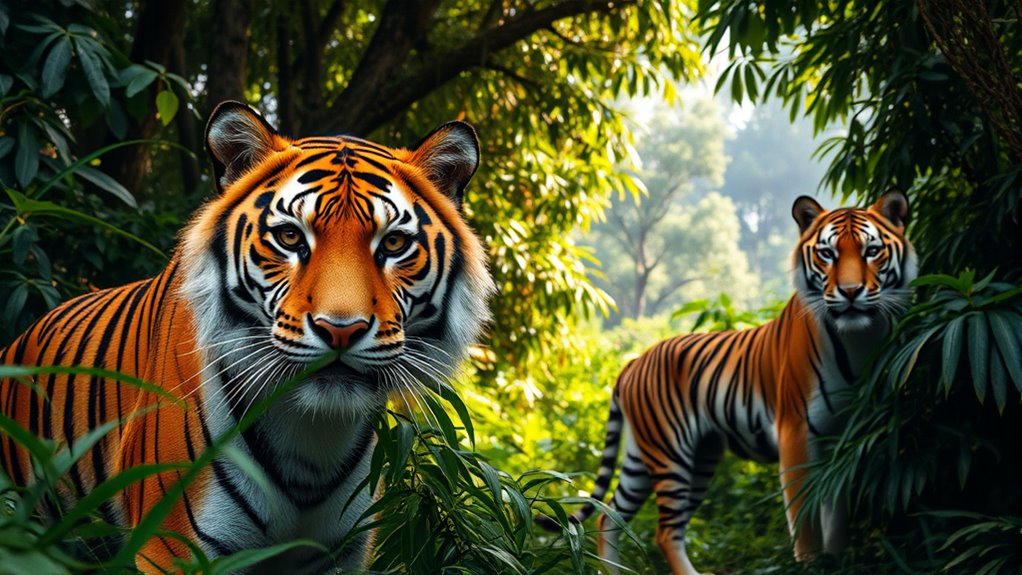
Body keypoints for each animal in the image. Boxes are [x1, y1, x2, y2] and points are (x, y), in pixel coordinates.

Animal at [0, 101, 494, 573]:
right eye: (290, 237)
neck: (312, 441)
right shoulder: (174, 549)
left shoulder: (338, 554)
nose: (341, 330)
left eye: (393, 245)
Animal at [538, 192, 917, 575]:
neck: (859, 340)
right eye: (827, 254)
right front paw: (811, 565)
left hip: (668, 456)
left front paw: (835, 563)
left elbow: (835, 518)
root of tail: (633, 361)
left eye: (872, 251)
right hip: (671, 451)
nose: (850, 292)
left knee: (610, 515)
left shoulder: (843, 442)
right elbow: (806, 523)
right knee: (664, 530)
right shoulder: (796, 434)